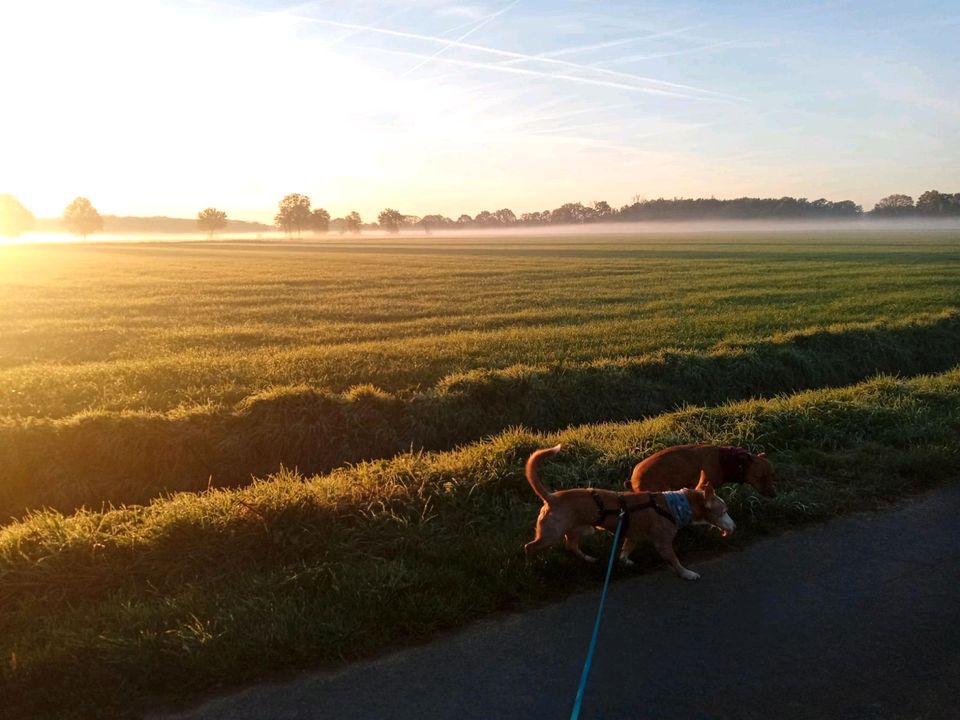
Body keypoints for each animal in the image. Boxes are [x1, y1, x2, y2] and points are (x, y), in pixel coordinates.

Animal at [524, 444, 736, 580]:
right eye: (724, 511)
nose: (734, 526)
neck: (677, 504)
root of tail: (551, 496)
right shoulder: (663, 544)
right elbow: (675, 560)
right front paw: (687, 573)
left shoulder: (631, 535)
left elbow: (625, 550)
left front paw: (624, 561)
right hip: (551, 534)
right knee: (530, 547)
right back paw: (534, 564)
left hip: (581, 528)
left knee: (571, 545)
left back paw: (588, 558)